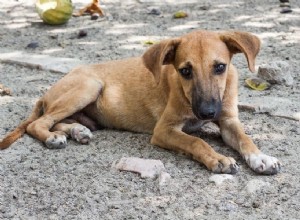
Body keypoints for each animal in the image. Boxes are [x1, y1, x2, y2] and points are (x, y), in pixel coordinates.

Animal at [0, 30, 282, 174]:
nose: (207, 112)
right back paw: (52, 137)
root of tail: (46, 93)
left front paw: (261, 158)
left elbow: (245, 139)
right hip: (88, 86)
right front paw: (219, 159)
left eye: (220, 67)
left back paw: (77, 131)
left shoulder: (228, 121)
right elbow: (196, 141)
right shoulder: (164, 130)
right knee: (38, 123)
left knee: (59, 121)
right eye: (185, 71)